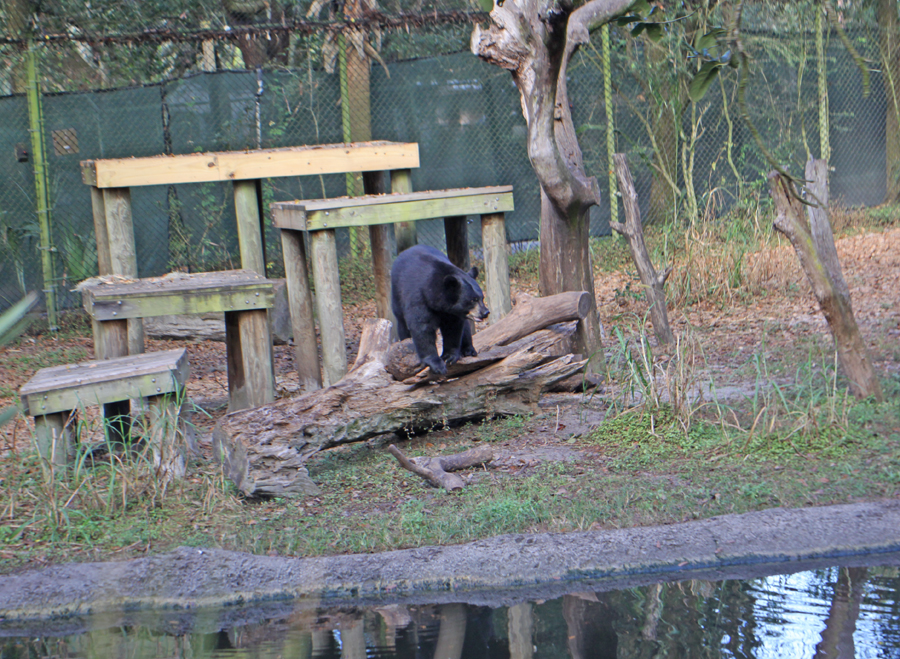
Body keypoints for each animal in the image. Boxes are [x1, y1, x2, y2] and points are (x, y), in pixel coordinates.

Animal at [390, 244, 488, 376]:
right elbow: (422, 327)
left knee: (466, 327)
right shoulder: (418, 297)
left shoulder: (453, 312)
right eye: (473, 299)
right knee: (402, 325)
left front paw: (449, 356)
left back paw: (469, 350)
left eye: (482, 298)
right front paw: (436, 363)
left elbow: (453, 327)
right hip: (397, 297)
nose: (485, 312)